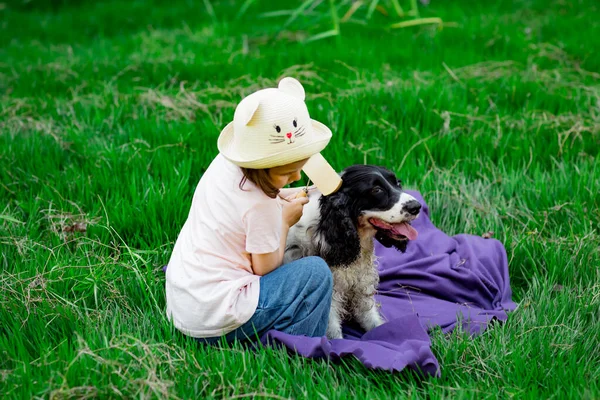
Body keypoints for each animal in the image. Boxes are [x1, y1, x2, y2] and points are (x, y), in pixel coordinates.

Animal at [282, 164, 420, 340]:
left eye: (398, 183)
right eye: (376, 190)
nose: (416, 207)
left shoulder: (361, 286)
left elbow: (371, 319)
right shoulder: (331, 294)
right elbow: (333, 330)